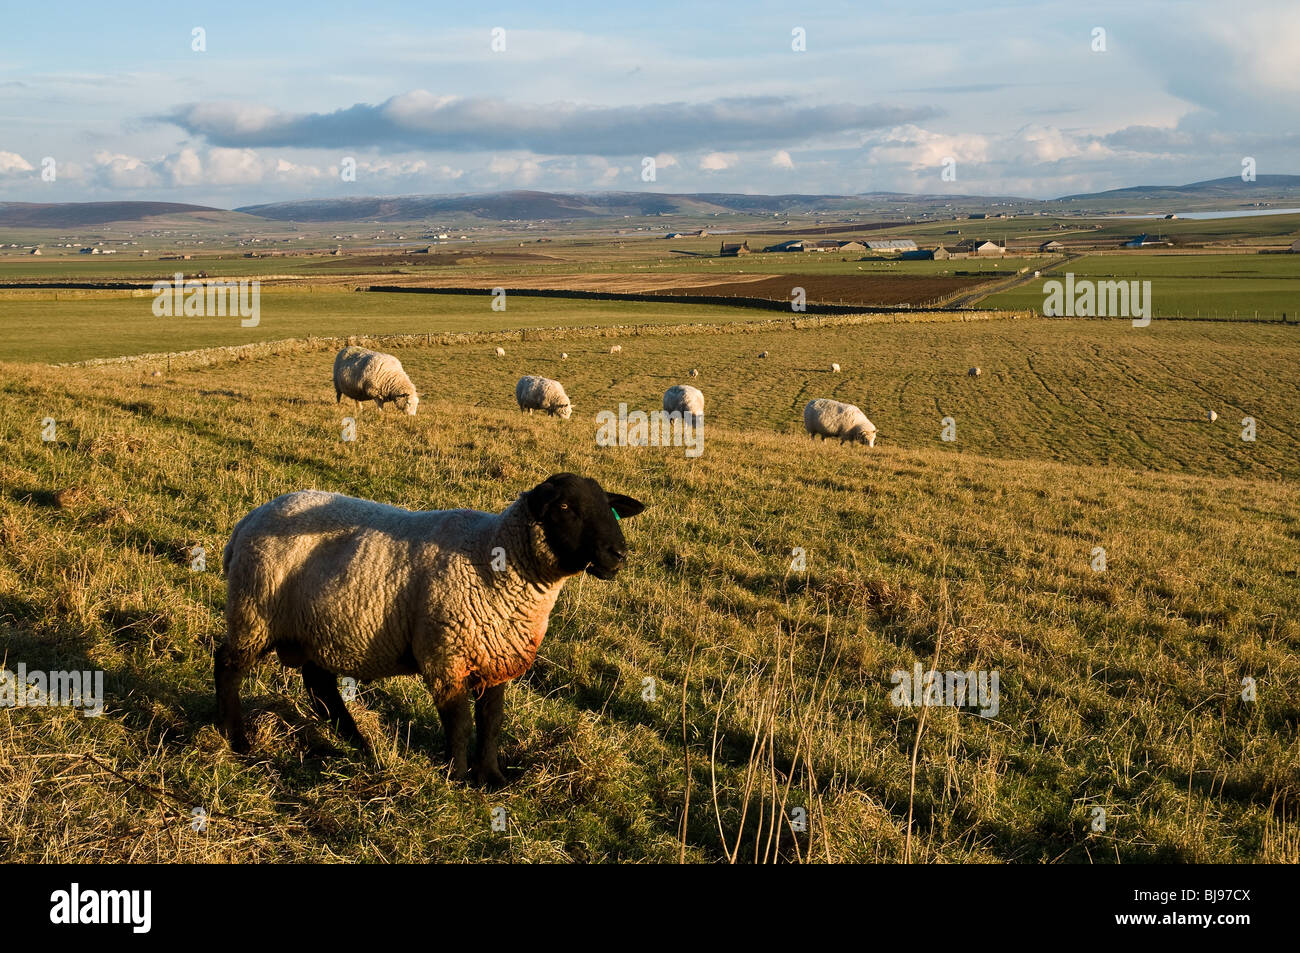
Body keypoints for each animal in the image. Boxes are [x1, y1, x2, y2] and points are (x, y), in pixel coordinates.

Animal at [224, 473, 655, 785]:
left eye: (611, 511)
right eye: (565, 506)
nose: (618, 554)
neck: (494, 557)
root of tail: (250, 518)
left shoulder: (494, 654)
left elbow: (492, 721)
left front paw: (491, 777)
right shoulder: (446, 656)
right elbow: (460, 723)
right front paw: (457, 777)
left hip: (315, 629)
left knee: (320, 687)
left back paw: (359, 745)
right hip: (253, 613)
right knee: (228, 666)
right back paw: (239, 741)